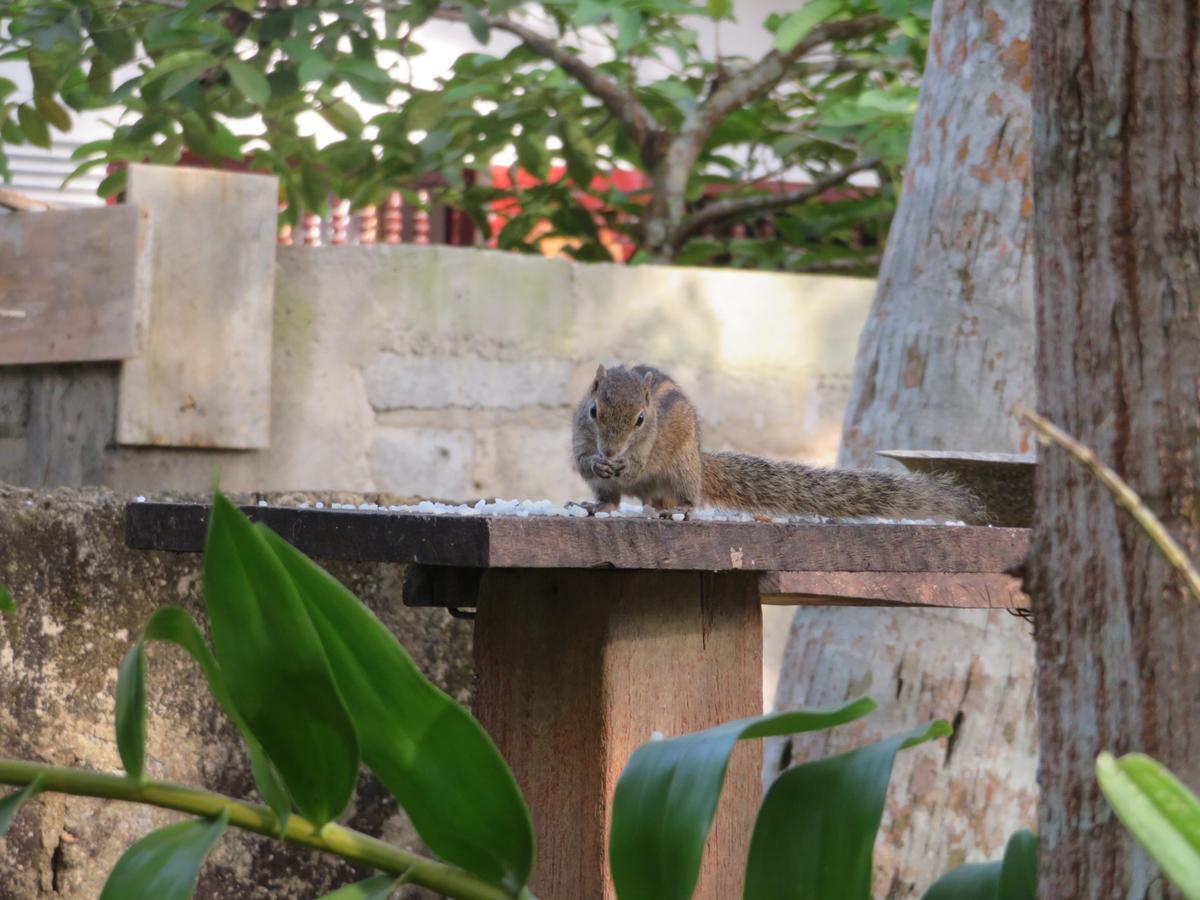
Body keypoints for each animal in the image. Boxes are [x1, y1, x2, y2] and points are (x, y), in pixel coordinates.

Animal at [571, 364, 984, 525]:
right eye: (593, 410)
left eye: (641, 420)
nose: (610, 453)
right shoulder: (580, 432)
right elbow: (580, 459)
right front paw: (596, 462)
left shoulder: (651, 442)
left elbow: (640, 462)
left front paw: (625, 464)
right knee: (611, 499)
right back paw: (597, 505)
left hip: (684, 468)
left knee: (687, 496)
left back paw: (679, 507)